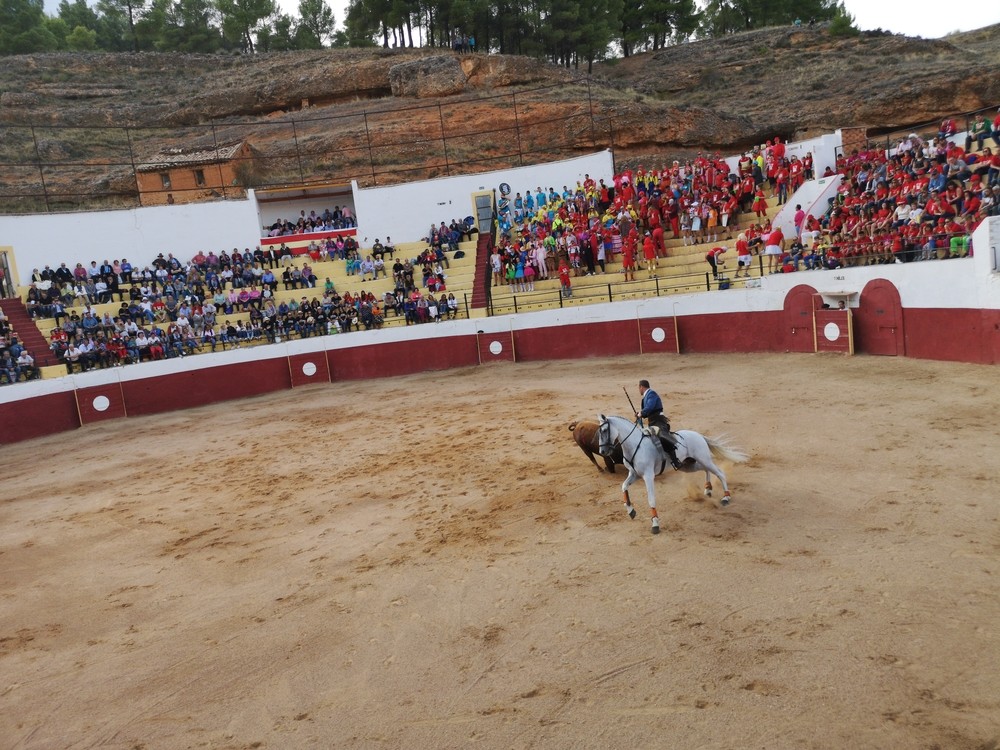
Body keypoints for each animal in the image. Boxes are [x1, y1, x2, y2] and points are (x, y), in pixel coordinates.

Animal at [596, 418, 748, 536]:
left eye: (605, 430)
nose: (602, 451)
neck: (635, 445)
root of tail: (699, 435)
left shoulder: (648, 476)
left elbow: (651, 499)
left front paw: (655, 525)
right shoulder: (634, 474)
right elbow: (624, 487)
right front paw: (631, 511)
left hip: (702, 459)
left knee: (720, 473)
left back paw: (726, 497)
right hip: (688, 465)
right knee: (706, 470)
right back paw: (708, 489)